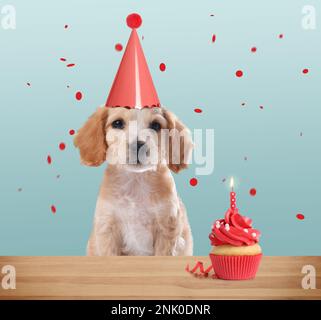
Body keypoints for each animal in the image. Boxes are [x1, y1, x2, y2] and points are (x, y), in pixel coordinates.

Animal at [74, 106, 192, 256]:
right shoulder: (107, 229)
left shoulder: (167, 228)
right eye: (117, 123)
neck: (136, 180)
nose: (138, 145)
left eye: (156, 125)